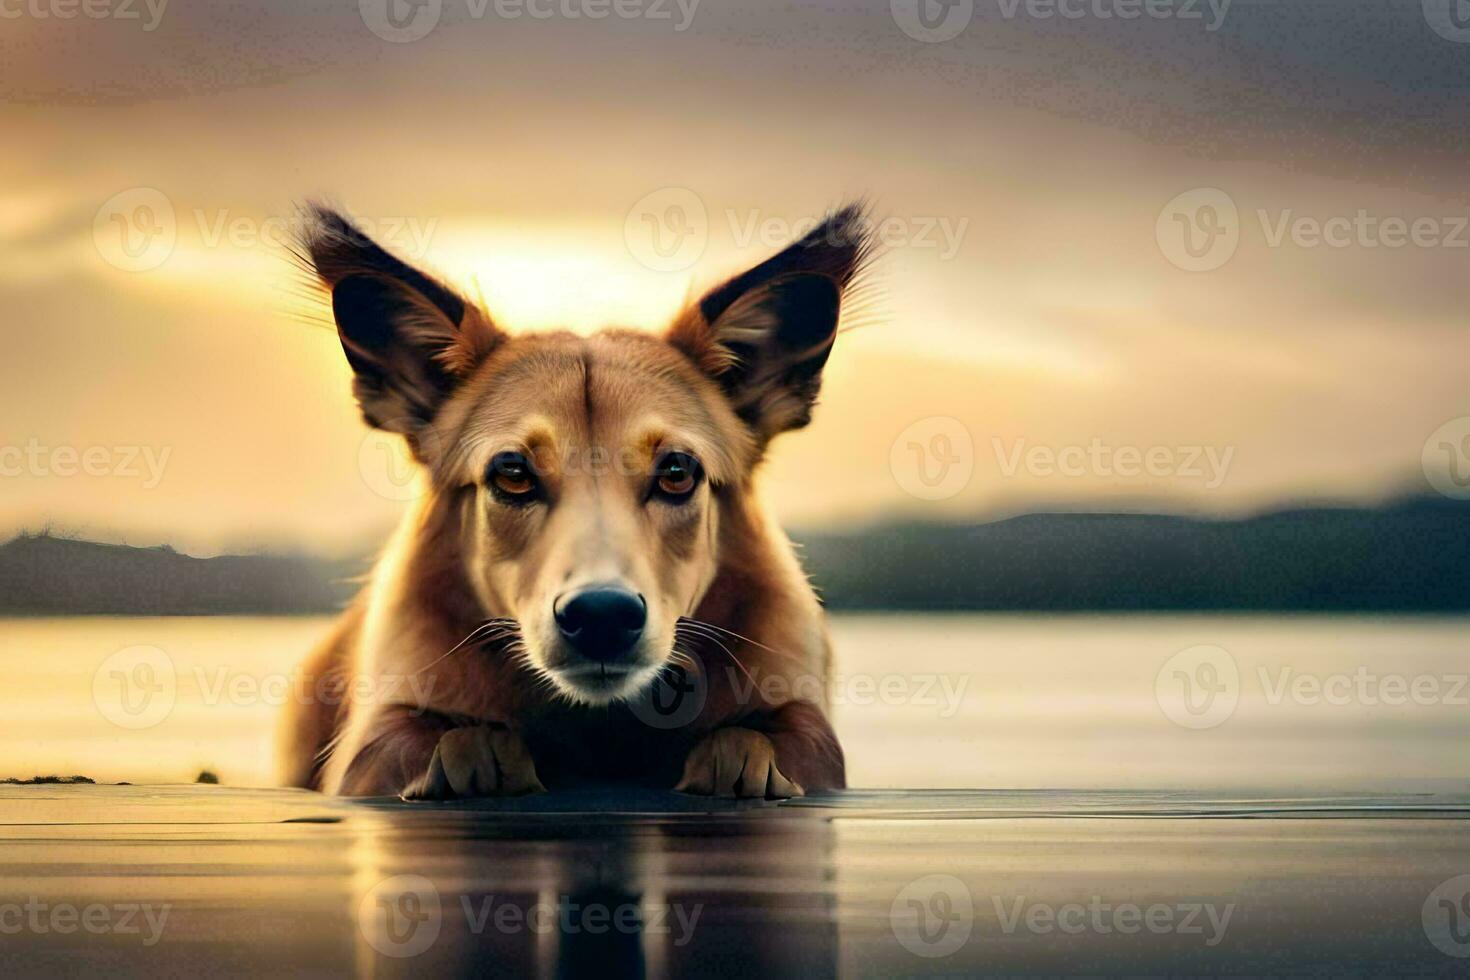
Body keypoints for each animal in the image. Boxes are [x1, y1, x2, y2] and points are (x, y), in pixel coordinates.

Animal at [280, 199, 864, 799]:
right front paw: (479, 758)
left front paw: (737, 764)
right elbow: (438, 740)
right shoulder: (376, 738)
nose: (602, 615)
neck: (600, 732)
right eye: (512, 472)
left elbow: (765, 739)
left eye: (678, 471)